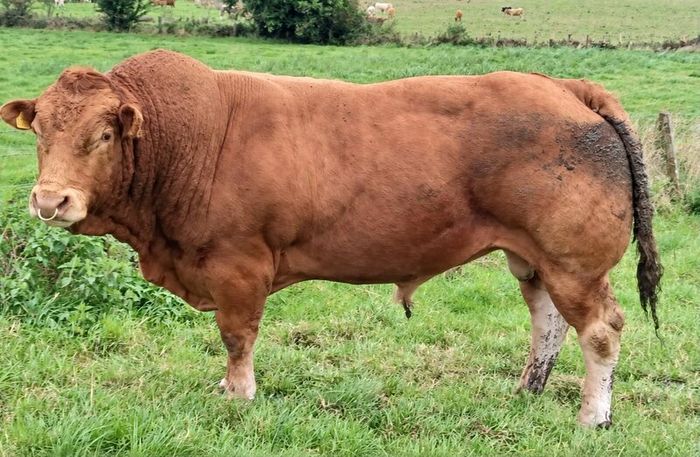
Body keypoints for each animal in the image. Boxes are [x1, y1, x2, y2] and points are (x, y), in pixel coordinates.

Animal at [0, 50, 661, 428]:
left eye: (105, 133)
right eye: (41, 131)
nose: (50, 201)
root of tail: (565, 86)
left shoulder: (239, 263)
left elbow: (237, 337)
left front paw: (237, 395)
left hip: (574, 262)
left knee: (600, 330)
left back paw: (592, 417)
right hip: (532, 257)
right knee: (547, 321)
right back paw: (527, 390)